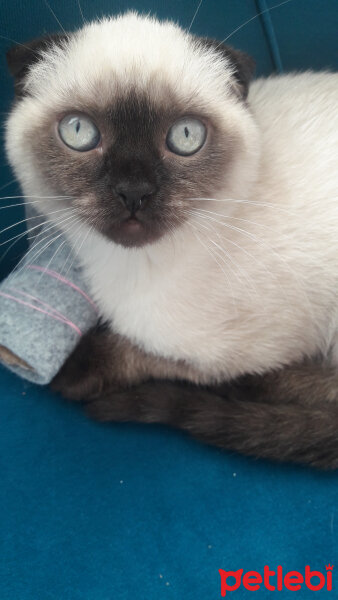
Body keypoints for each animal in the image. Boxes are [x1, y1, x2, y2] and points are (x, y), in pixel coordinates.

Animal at [4, 10, 338, 468]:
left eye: (185, 136)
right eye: (79, 131)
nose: (134, 192)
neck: (128, 273)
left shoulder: (254, 351)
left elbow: (160, 358)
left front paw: (75, 372)